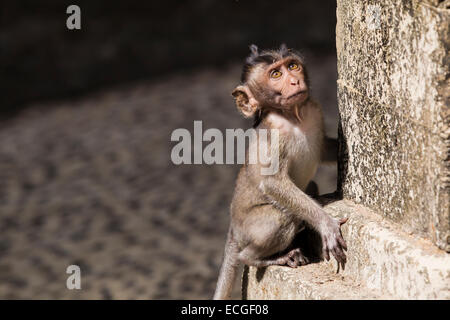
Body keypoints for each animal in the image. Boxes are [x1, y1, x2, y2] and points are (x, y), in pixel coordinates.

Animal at [214, 44, 348, 300]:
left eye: (292, 66)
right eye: (276, 74)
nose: (295, 81)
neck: (292, 116)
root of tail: (233, 227)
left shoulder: (313, 110)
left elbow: (324, 149)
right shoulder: (273, 135)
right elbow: (273, 183)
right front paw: (325, 223)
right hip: (250, 225)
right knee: (281, 218)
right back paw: (266, 257)